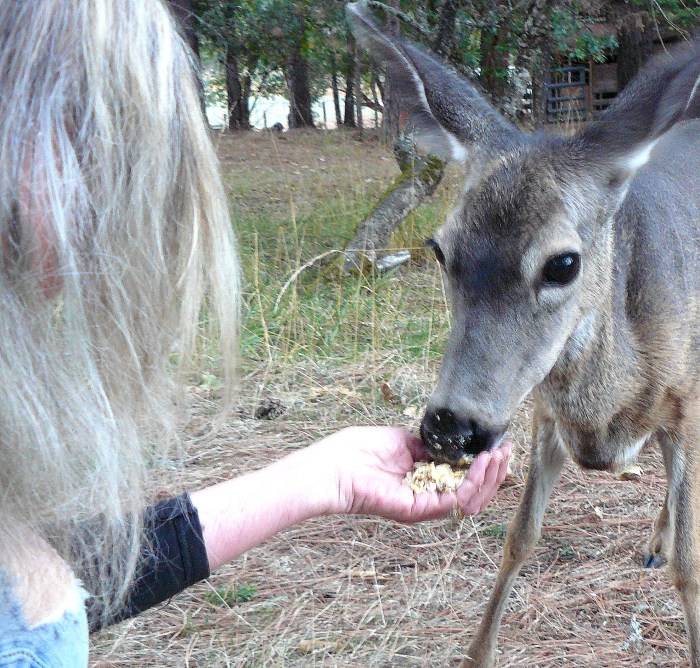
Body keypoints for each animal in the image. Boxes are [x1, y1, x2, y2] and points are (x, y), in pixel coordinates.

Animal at [346, 2, 700, 666]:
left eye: (563, 263)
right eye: (440, 248)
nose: (450, 425)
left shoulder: (689, 404)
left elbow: (691, 567)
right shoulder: (543, 412)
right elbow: (520, 536)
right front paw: (477, 652)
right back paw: (654, 541)